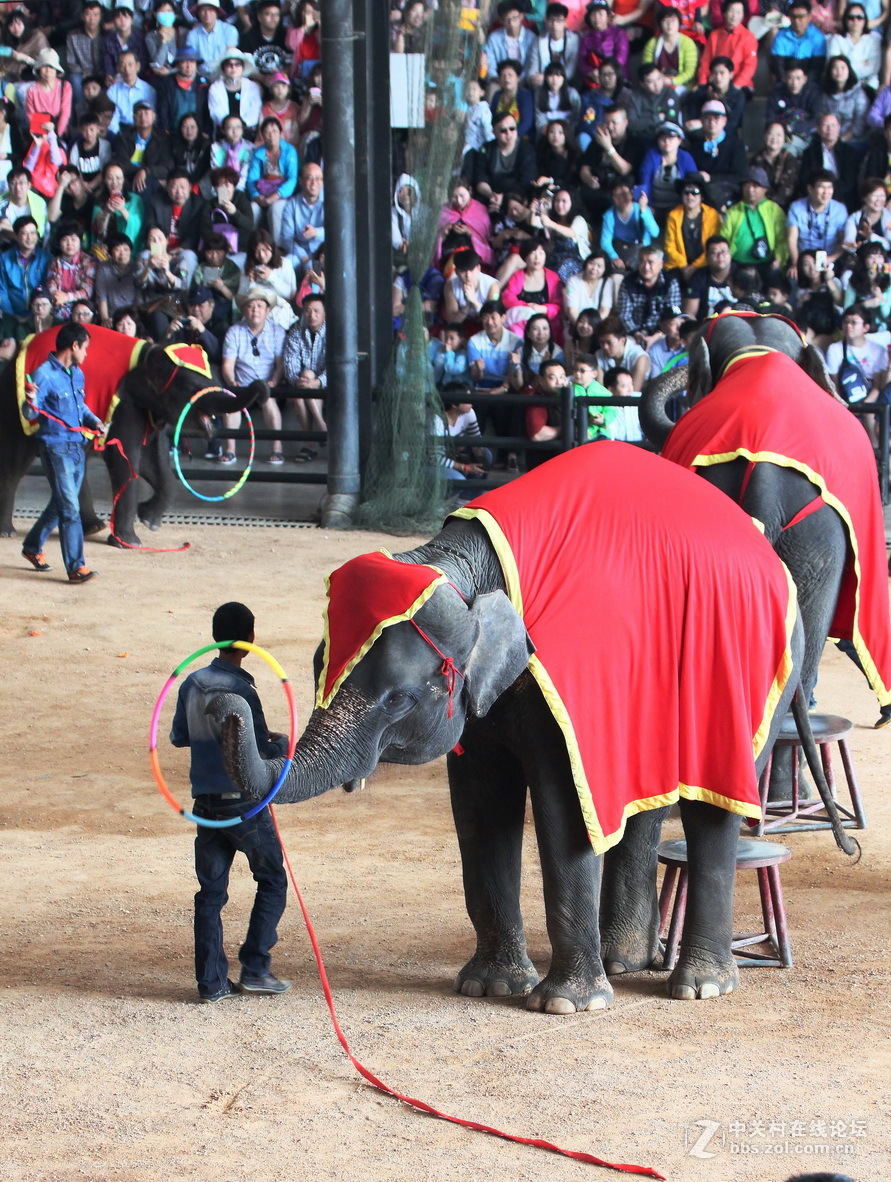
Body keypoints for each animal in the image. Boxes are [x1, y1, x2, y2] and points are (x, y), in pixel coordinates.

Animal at [0, 323, 263, 543]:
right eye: (191, 388)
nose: (261, 384)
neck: (151, 355)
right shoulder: (126, 405)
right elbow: (125, 459)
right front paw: (129, 542)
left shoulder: (148, 409)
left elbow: (155, 461)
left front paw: (148, 520)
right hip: (15, 405)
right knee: (14, 463)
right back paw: (7, 532)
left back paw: (93, 527)